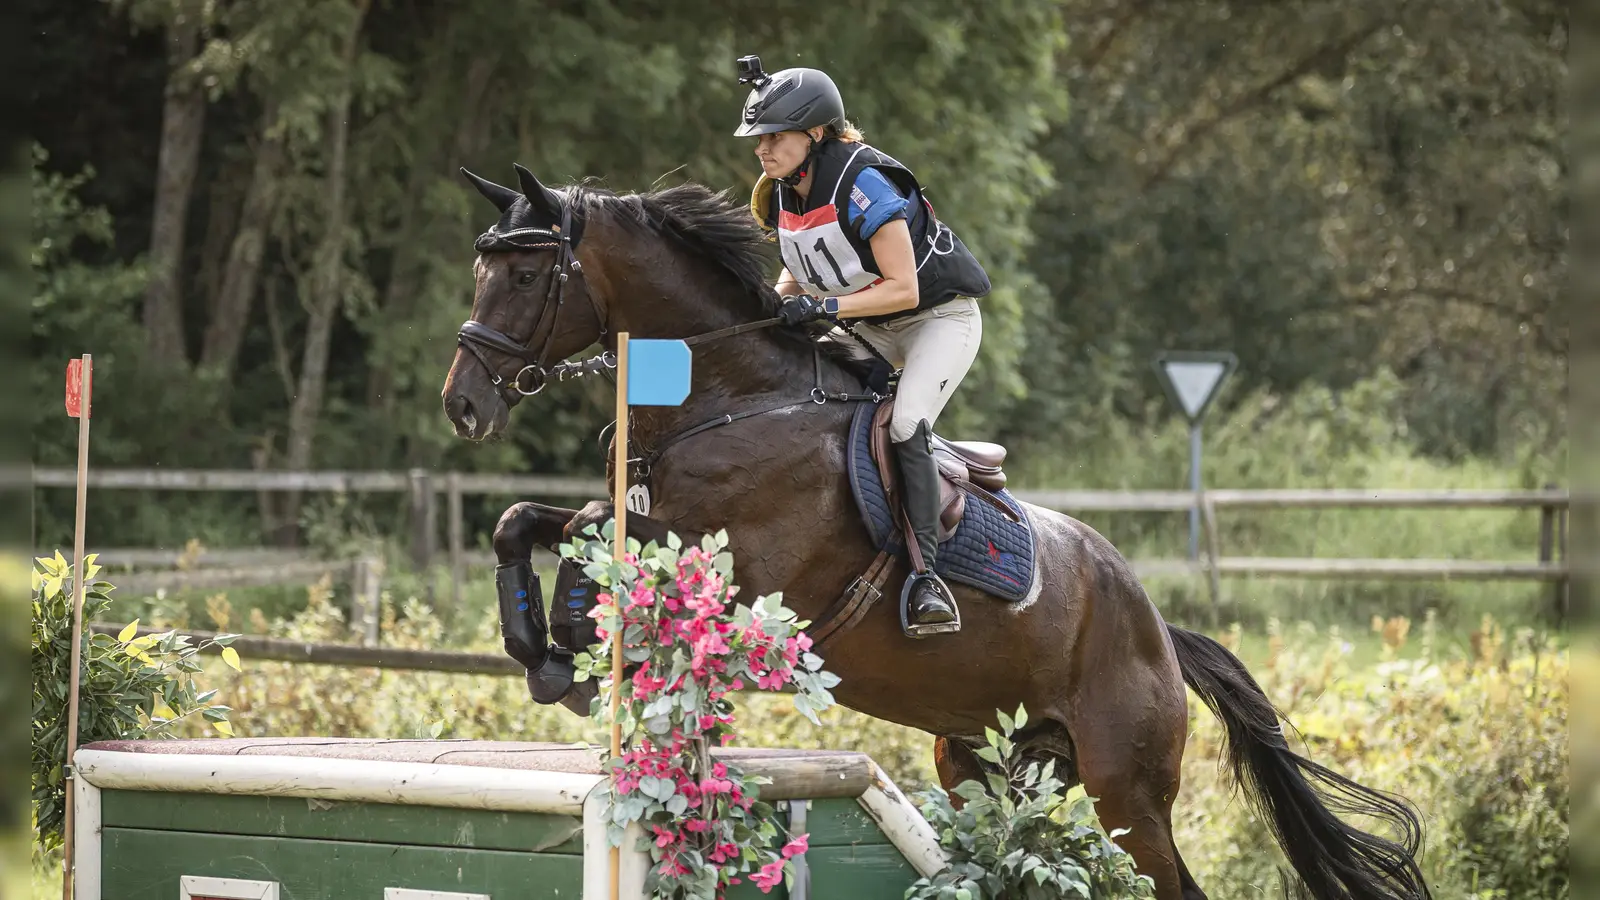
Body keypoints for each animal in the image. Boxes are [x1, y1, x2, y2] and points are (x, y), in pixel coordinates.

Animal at [441, 162, 1440, 896]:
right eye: (480, 270)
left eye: (523, 275)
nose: (462, 404)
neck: (728, 397)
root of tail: (1159, 628)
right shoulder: (647, 517)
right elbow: (526, 521)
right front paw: (540, 651)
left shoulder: (749, 570)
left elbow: (592, 549)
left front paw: (571, 644)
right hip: (986, 763)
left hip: (1128, 790)